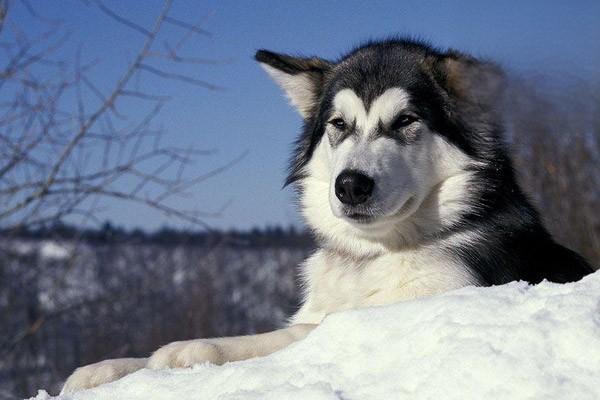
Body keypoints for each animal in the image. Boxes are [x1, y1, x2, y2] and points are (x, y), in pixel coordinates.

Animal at [59, 39, 592, 392]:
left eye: (405, 121)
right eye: (339, 124)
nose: (351, 184)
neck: (376, 255)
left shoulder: (427, 307)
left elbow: (285, 335)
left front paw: (193, 350)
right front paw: (108, 367)